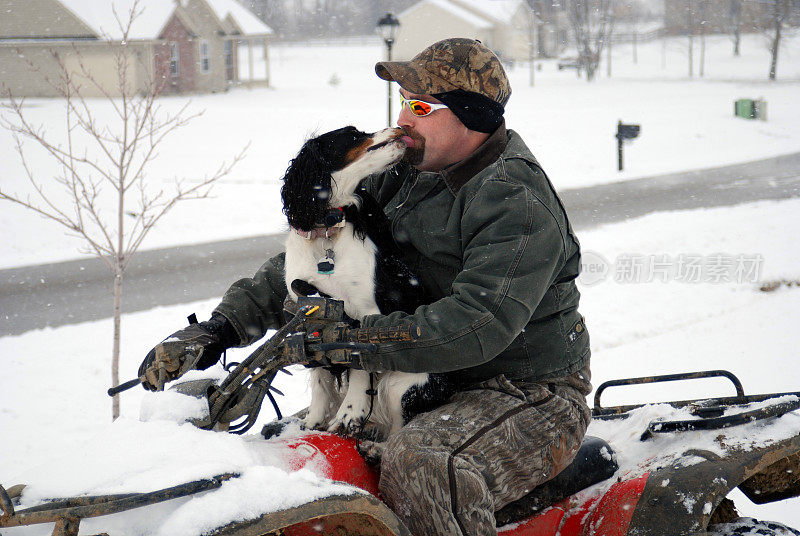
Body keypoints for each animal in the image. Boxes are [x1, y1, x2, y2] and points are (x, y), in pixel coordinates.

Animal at [280, 126, 444, 440]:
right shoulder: (307, 309)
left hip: (400, 386)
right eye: (353, 133)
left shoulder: (365, 312)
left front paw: (349, 414)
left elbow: (358, 363)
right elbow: (319, 376)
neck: (327, 232)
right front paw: (313, 421)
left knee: (397, 431)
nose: (400, 128)